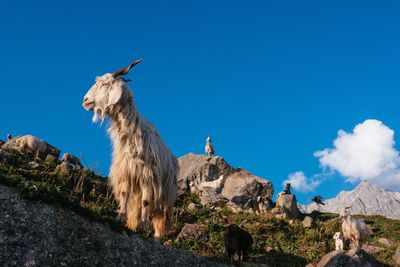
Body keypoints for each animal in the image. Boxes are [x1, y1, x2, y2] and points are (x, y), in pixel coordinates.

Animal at [83, 59, 178, 238]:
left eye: (105, 84)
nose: (85, 100)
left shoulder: (148, 175)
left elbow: (147, 202)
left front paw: (142, 227)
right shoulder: (126, 171)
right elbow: (124, 194)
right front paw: (120, 218)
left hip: (166, 194)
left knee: (159, 215)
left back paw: (157, 236)